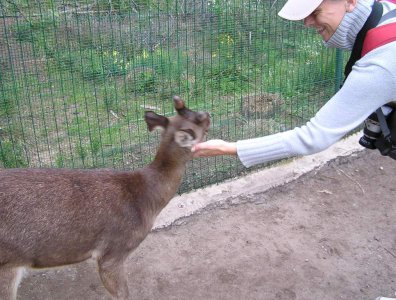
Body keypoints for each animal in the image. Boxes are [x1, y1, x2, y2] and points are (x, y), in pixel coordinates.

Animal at [0, 96, 210, 300]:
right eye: (200, 121)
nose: (208, 113)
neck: (146, 201)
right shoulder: (113, 251)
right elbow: (123, 293)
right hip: (8, 263)